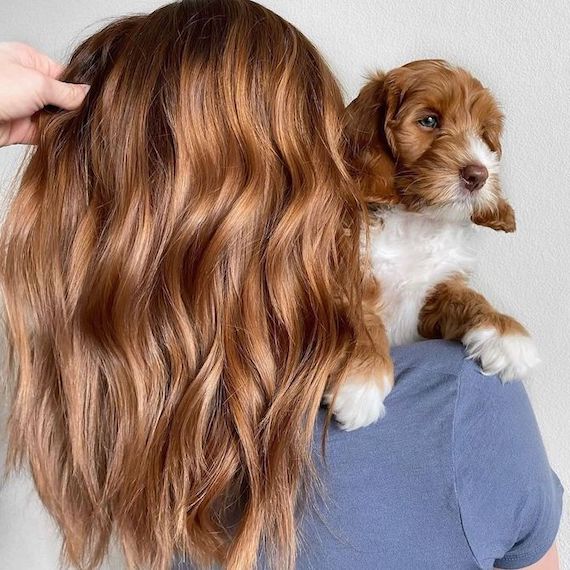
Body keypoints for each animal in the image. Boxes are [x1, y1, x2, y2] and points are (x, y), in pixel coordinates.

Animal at [330, 60, 540, 424]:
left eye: (483, 134)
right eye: (429, 121)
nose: (478, 175)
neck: (419, 219)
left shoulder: (436, 294)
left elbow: (469, 298)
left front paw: (506, 334)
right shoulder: (349, 278)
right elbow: (360, 322)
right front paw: (361, 382)